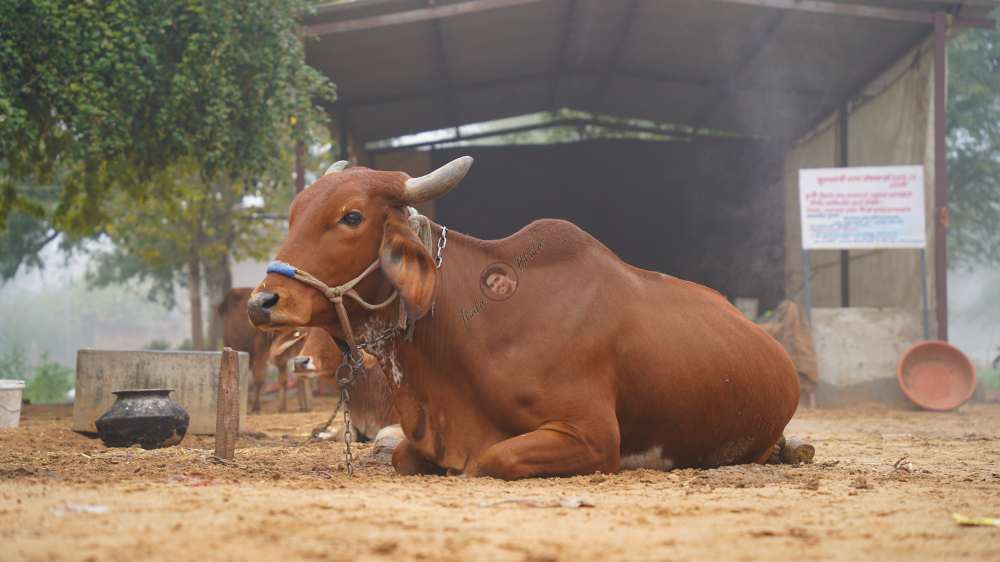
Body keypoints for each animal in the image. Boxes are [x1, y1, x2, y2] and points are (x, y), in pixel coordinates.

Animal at [247, 157, 802, 479]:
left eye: (352, 216)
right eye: (292, 215)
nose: (262, 302)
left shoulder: (592, 435)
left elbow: (491, 458)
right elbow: (406, 454)